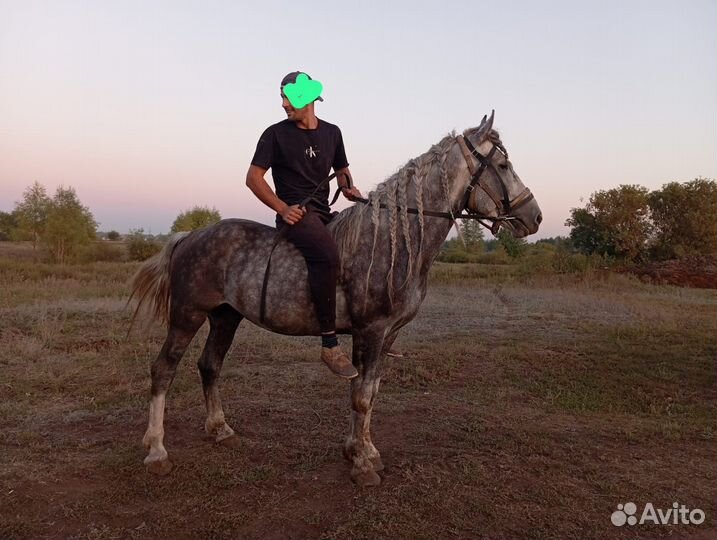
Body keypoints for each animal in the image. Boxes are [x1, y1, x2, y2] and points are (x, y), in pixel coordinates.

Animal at [129, 111, 542, 487]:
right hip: (187, 315)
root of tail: (190, 235)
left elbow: (369, 392)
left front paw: (365, 450)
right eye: (502, 165)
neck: (395, 240)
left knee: (209, 365)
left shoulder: (385, 336)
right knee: (163, 370)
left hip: (225, 317)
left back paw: (220, 429)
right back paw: (157, 451)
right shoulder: (371, 331)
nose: (534, 217)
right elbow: (361, 397)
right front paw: (360, 464)